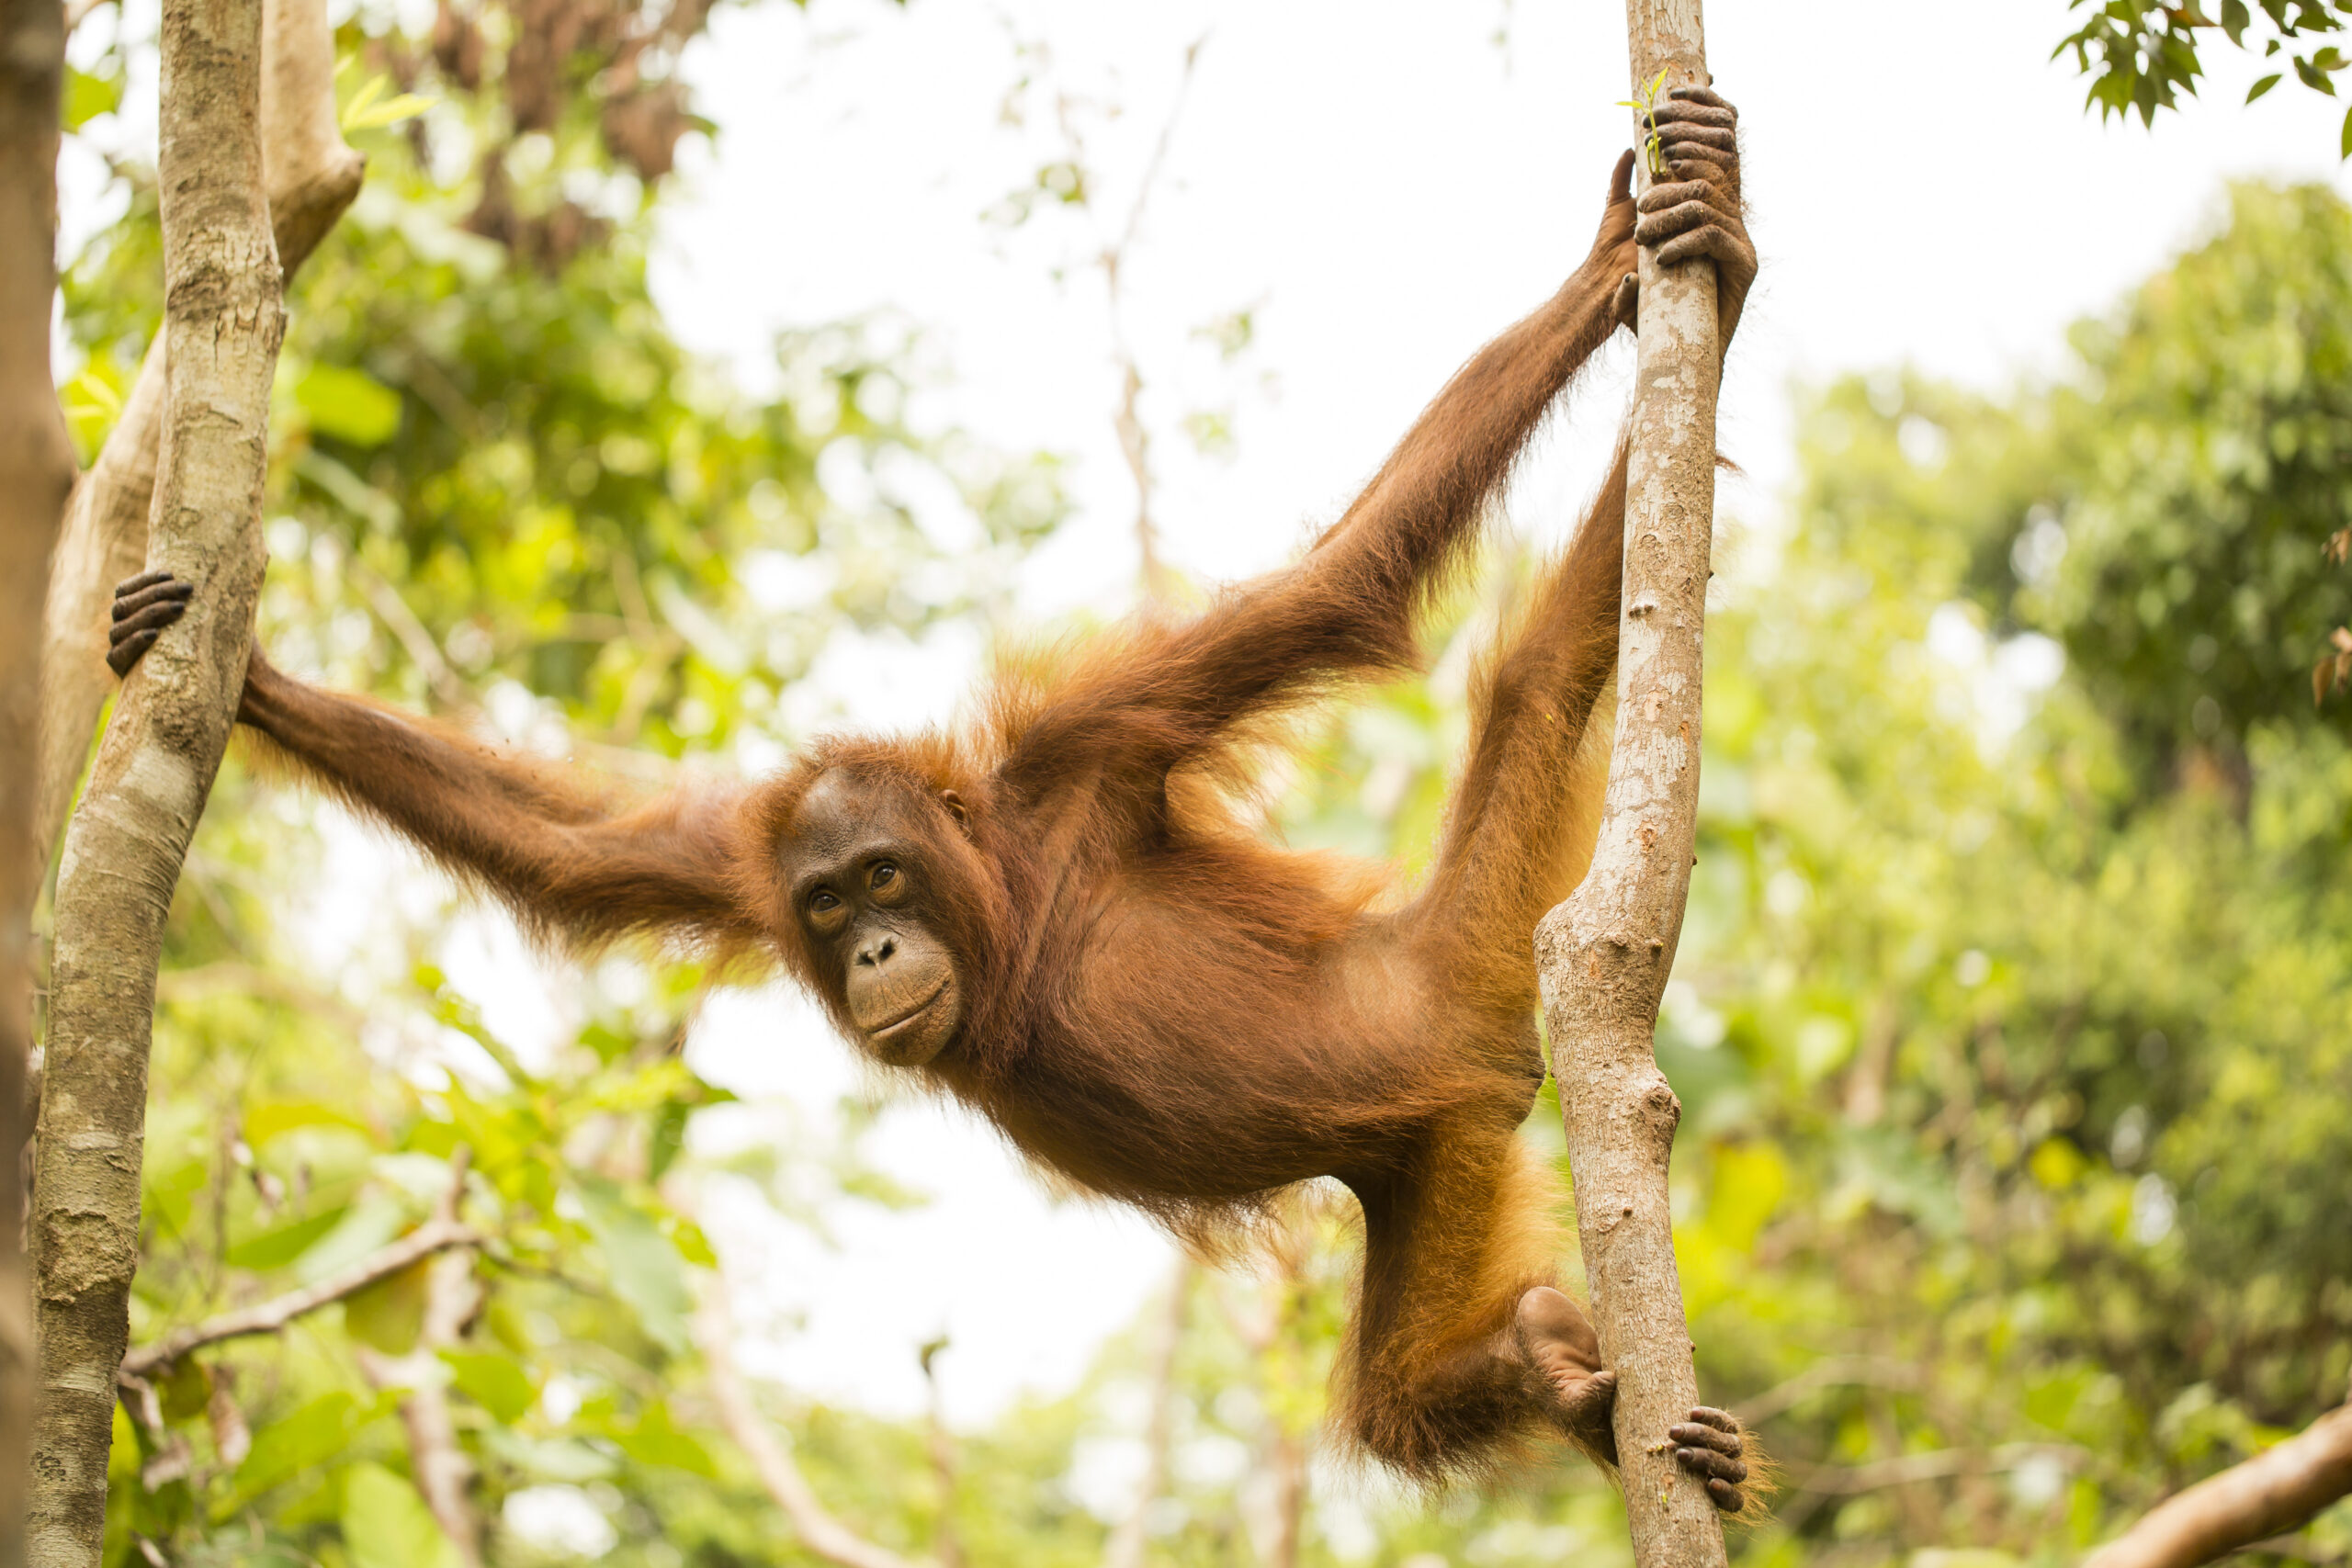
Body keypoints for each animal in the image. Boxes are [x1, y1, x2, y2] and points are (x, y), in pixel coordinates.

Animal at [110, 87, 1758, 1505]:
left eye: (888, 880)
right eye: (831, 901)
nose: (876, 950)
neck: (1005, 895)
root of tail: (1449, 992)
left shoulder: (1092, 745)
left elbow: (1336, 586)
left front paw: (1604, 271)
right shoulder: (741, 860)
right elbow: (574, 848)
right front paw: (252, 678)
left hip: (1457, 989)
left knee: (1525, 686)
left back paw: (1707, 298)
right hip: (1435, 1145)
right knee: (1402, 1397)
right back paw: (1556, 1372)